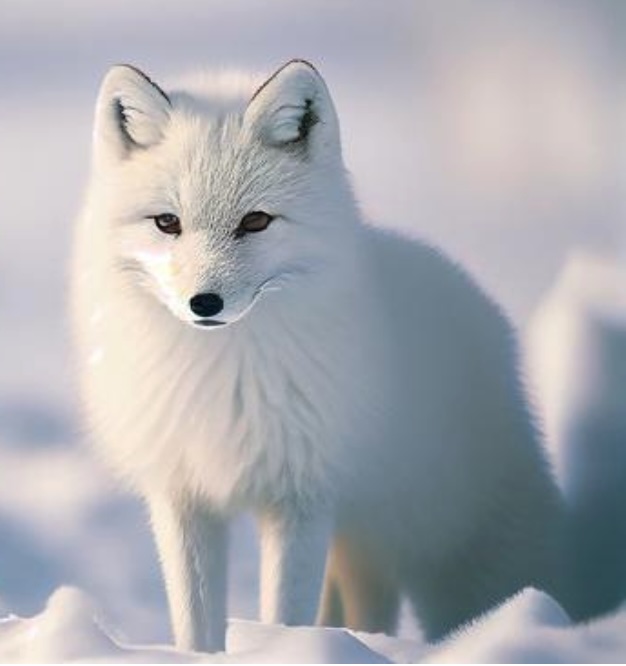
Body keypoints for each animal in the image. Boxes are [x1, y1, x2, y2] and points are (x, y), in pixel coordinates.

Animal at [72, 59, 563, 652]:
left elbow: (284, 615)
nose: (204, 303)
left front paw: (287, 649)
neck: (224, 378)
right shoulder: (183, 495)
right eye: (167, 223)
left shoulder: (301, 497)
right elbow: (194, 623)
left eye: (255, 221)